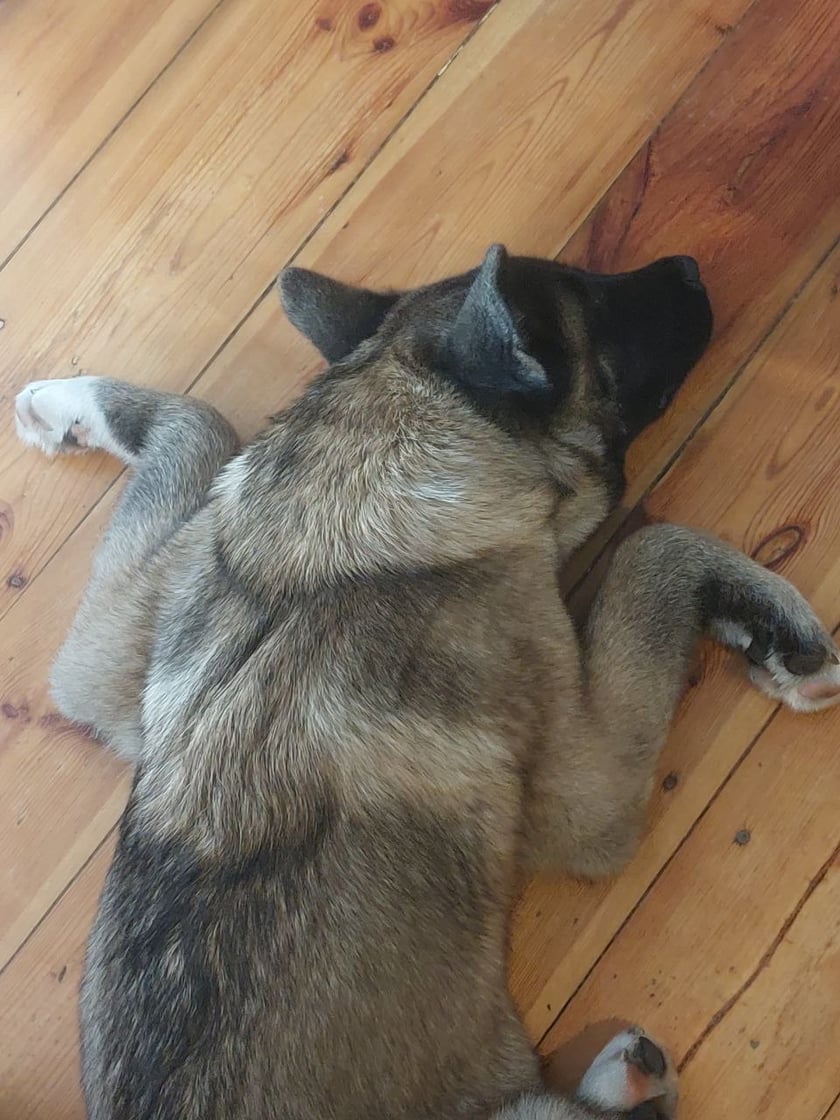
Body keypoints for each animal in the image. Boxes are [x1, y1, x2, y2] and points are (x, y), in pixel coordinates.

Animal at [15, 245, 840, 1120]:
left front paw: (61, 402)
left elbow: (199, 421)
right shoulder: (589, 795)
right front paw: (780, 625)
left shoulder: (103, 659)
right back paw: (630, 1079)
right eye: (582, 298)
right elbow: (649, 554)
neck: (375, 448)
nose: (688, 264)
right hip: (522, 1111)